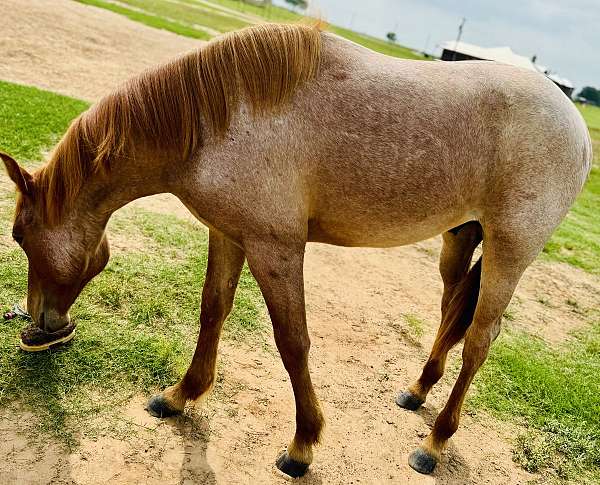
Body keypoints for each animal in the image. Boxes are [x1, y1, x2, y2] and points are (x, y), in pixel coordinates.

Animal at [0, 22, 592, 476]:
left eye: (19, 237)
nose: (38, 327)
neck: (220, 119)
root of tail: (576, 125)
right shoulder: (228, 234)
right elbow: (212, 311)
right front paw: (180, 396)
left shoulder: (276, 249)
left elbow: (293, 342)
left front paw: (303, 445)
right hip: (460, 239)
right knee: (452, 312)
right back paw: (417, 390)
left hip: (509, 254)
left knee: (479, 341)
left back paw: (433, 444)